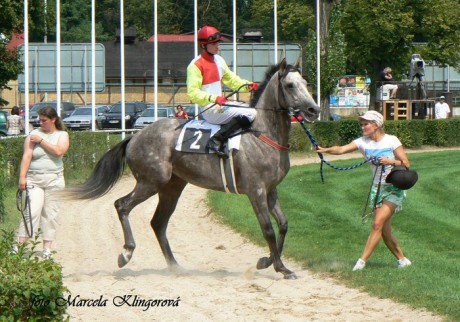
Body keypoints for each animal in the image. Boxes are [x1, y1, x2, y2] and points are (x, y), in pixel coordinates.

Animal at [69, 58, 320, 280]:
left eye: (305, 83)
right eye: (290, 85)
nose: (313, 109)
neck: (263, 134)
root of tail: (133, 137)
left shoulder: (270, 190)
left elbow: (284, 224)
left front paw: (272, 263)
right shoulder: (255, 190)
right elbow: (267, 228)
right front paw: (276, 265)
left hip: (172, 187)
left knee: (158, 223)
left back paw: (175, 267)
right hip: (151, 182)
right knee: (122, 205)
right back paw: (126, 253)